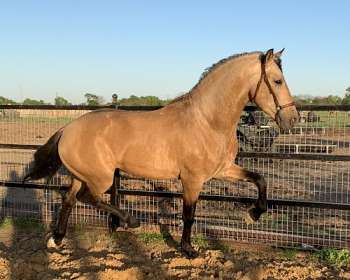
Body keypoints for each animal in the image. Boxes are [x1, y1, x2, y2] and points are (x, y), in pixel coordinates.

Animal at [23, 48, 298, 258]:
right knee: (87, 198)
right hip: (100, 177)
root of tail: (67, 128)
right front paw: (188, 249)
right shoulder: (192, 180)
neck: (207, 121)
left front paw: (253, 214)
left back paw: (57, 239)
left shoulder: (223, 170)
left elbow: (260, 179)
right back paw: (131, 221)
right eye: (277, 81)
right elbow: (189, 215)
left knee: (69, 200)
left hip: (82, 175)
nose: (292, 119)